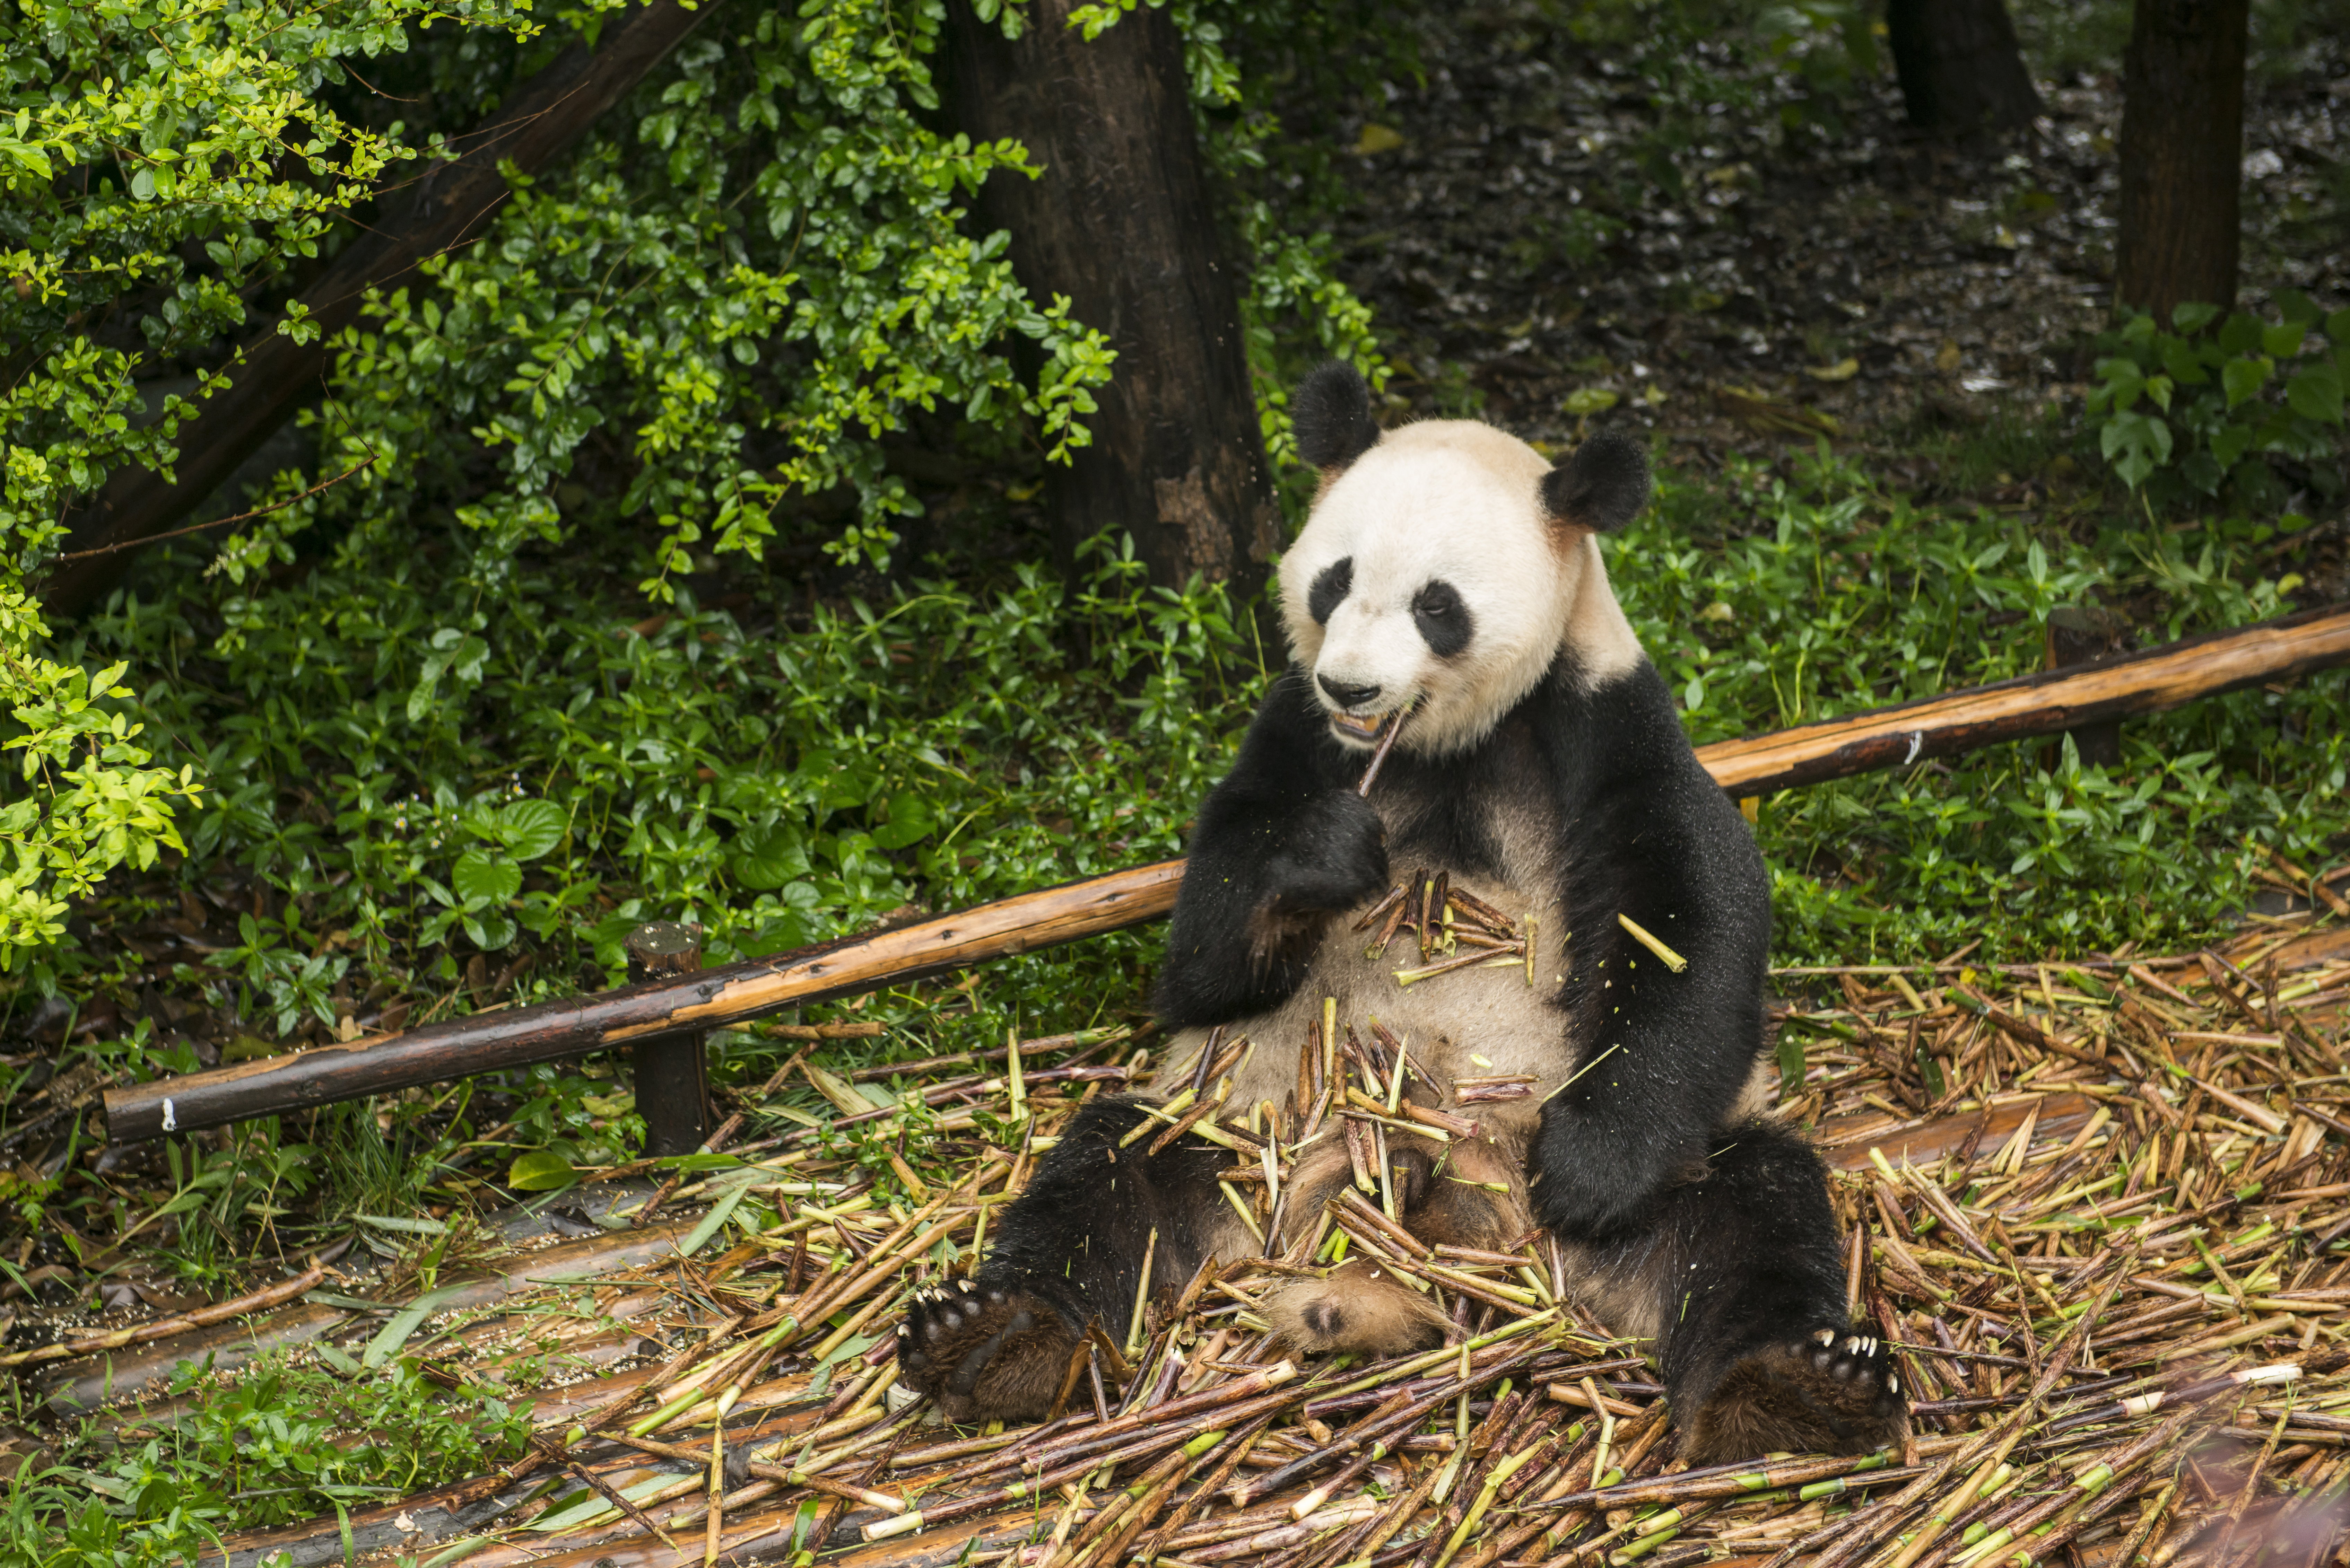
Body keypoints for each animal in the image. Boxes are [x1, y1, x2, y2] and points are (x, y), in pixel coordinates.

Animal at [899, 363, 1907, 1463]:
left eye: (1437, 603)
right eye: (1333, 579)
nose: (1351, 686)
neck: (1441, 744)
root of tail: (1435, 1209)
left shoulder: (1601, 720)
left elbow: (1689, 918)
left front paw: (1589, 1167)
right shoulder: (1293, 736)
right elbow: (1202, 954)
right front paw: (1320, 860)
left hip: (1657, 1176)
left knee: (1756, 1206)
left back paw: (1791, 1385)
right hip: (1243, 1132)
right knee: (1110, 1172)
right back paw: (994, 1335)